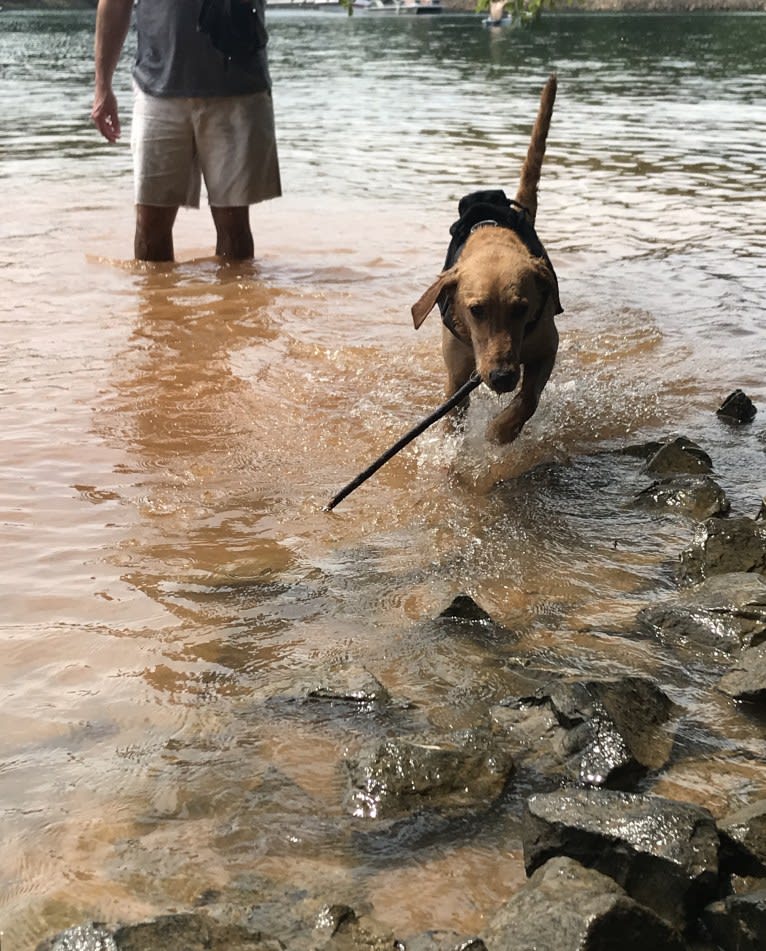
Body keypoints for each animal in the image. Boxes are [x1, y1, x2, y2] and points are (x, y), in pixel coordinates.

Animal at [414, 75, 564, 446]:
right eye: (476, 310)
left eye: (522, 308)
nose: (502, 377)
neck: (493, 239)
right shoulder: (456, 377)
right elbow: (452, 423)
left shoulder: (547, 347)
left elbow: (529, 397)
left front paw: (502, 429)